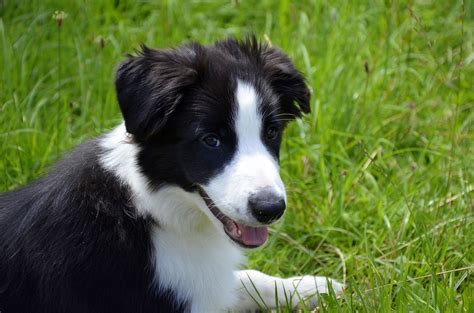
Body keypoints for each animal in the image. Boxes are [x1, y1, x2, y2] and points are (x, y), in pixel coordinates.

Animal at [0, 37, 340, 310]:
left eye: (271, 132)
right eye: (211, 140)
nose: (271, 209)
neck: (150, 210)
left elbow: (247, 280)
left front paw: (313, 288)